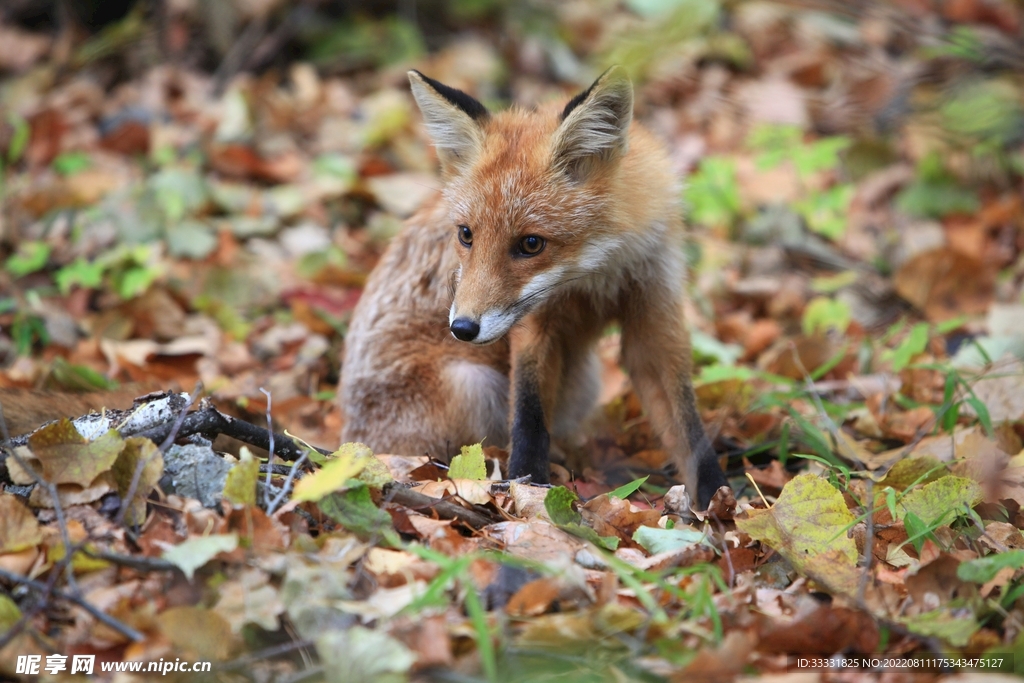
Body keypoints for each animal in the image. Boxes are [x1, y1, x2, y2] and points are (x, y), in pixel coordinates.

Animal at [339, 66, 733, 509]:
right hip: (471, 385)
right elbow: (528, 416)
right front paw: (526, 491)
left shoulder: (653, 305)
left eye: (531, 243)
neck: (594, 275)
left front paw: (718, 499)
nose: (462, 329)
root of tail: (348, 441)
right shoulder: (532, 324)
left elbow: (688, 428)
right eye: (465, 234)